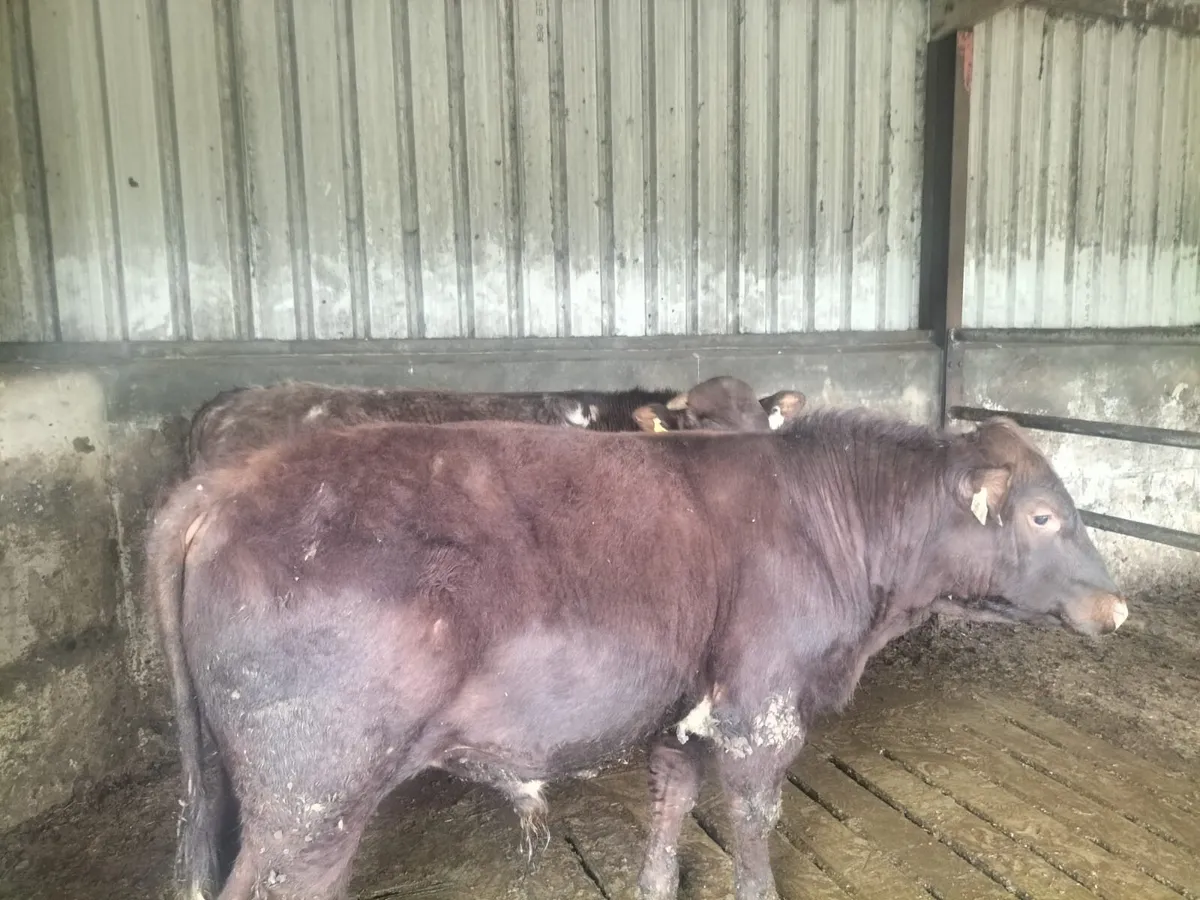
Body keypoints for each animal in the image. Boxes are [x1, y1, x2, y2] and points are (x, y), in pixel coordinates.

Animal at [146, 409, 1127, 900]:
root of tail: (224, 480)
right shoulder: (761, 709)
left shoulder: (683, 707)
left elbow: (672, 801)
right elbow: (754, 817)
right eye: (1044, 516)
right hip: (309, 799)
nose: (1116, 604)